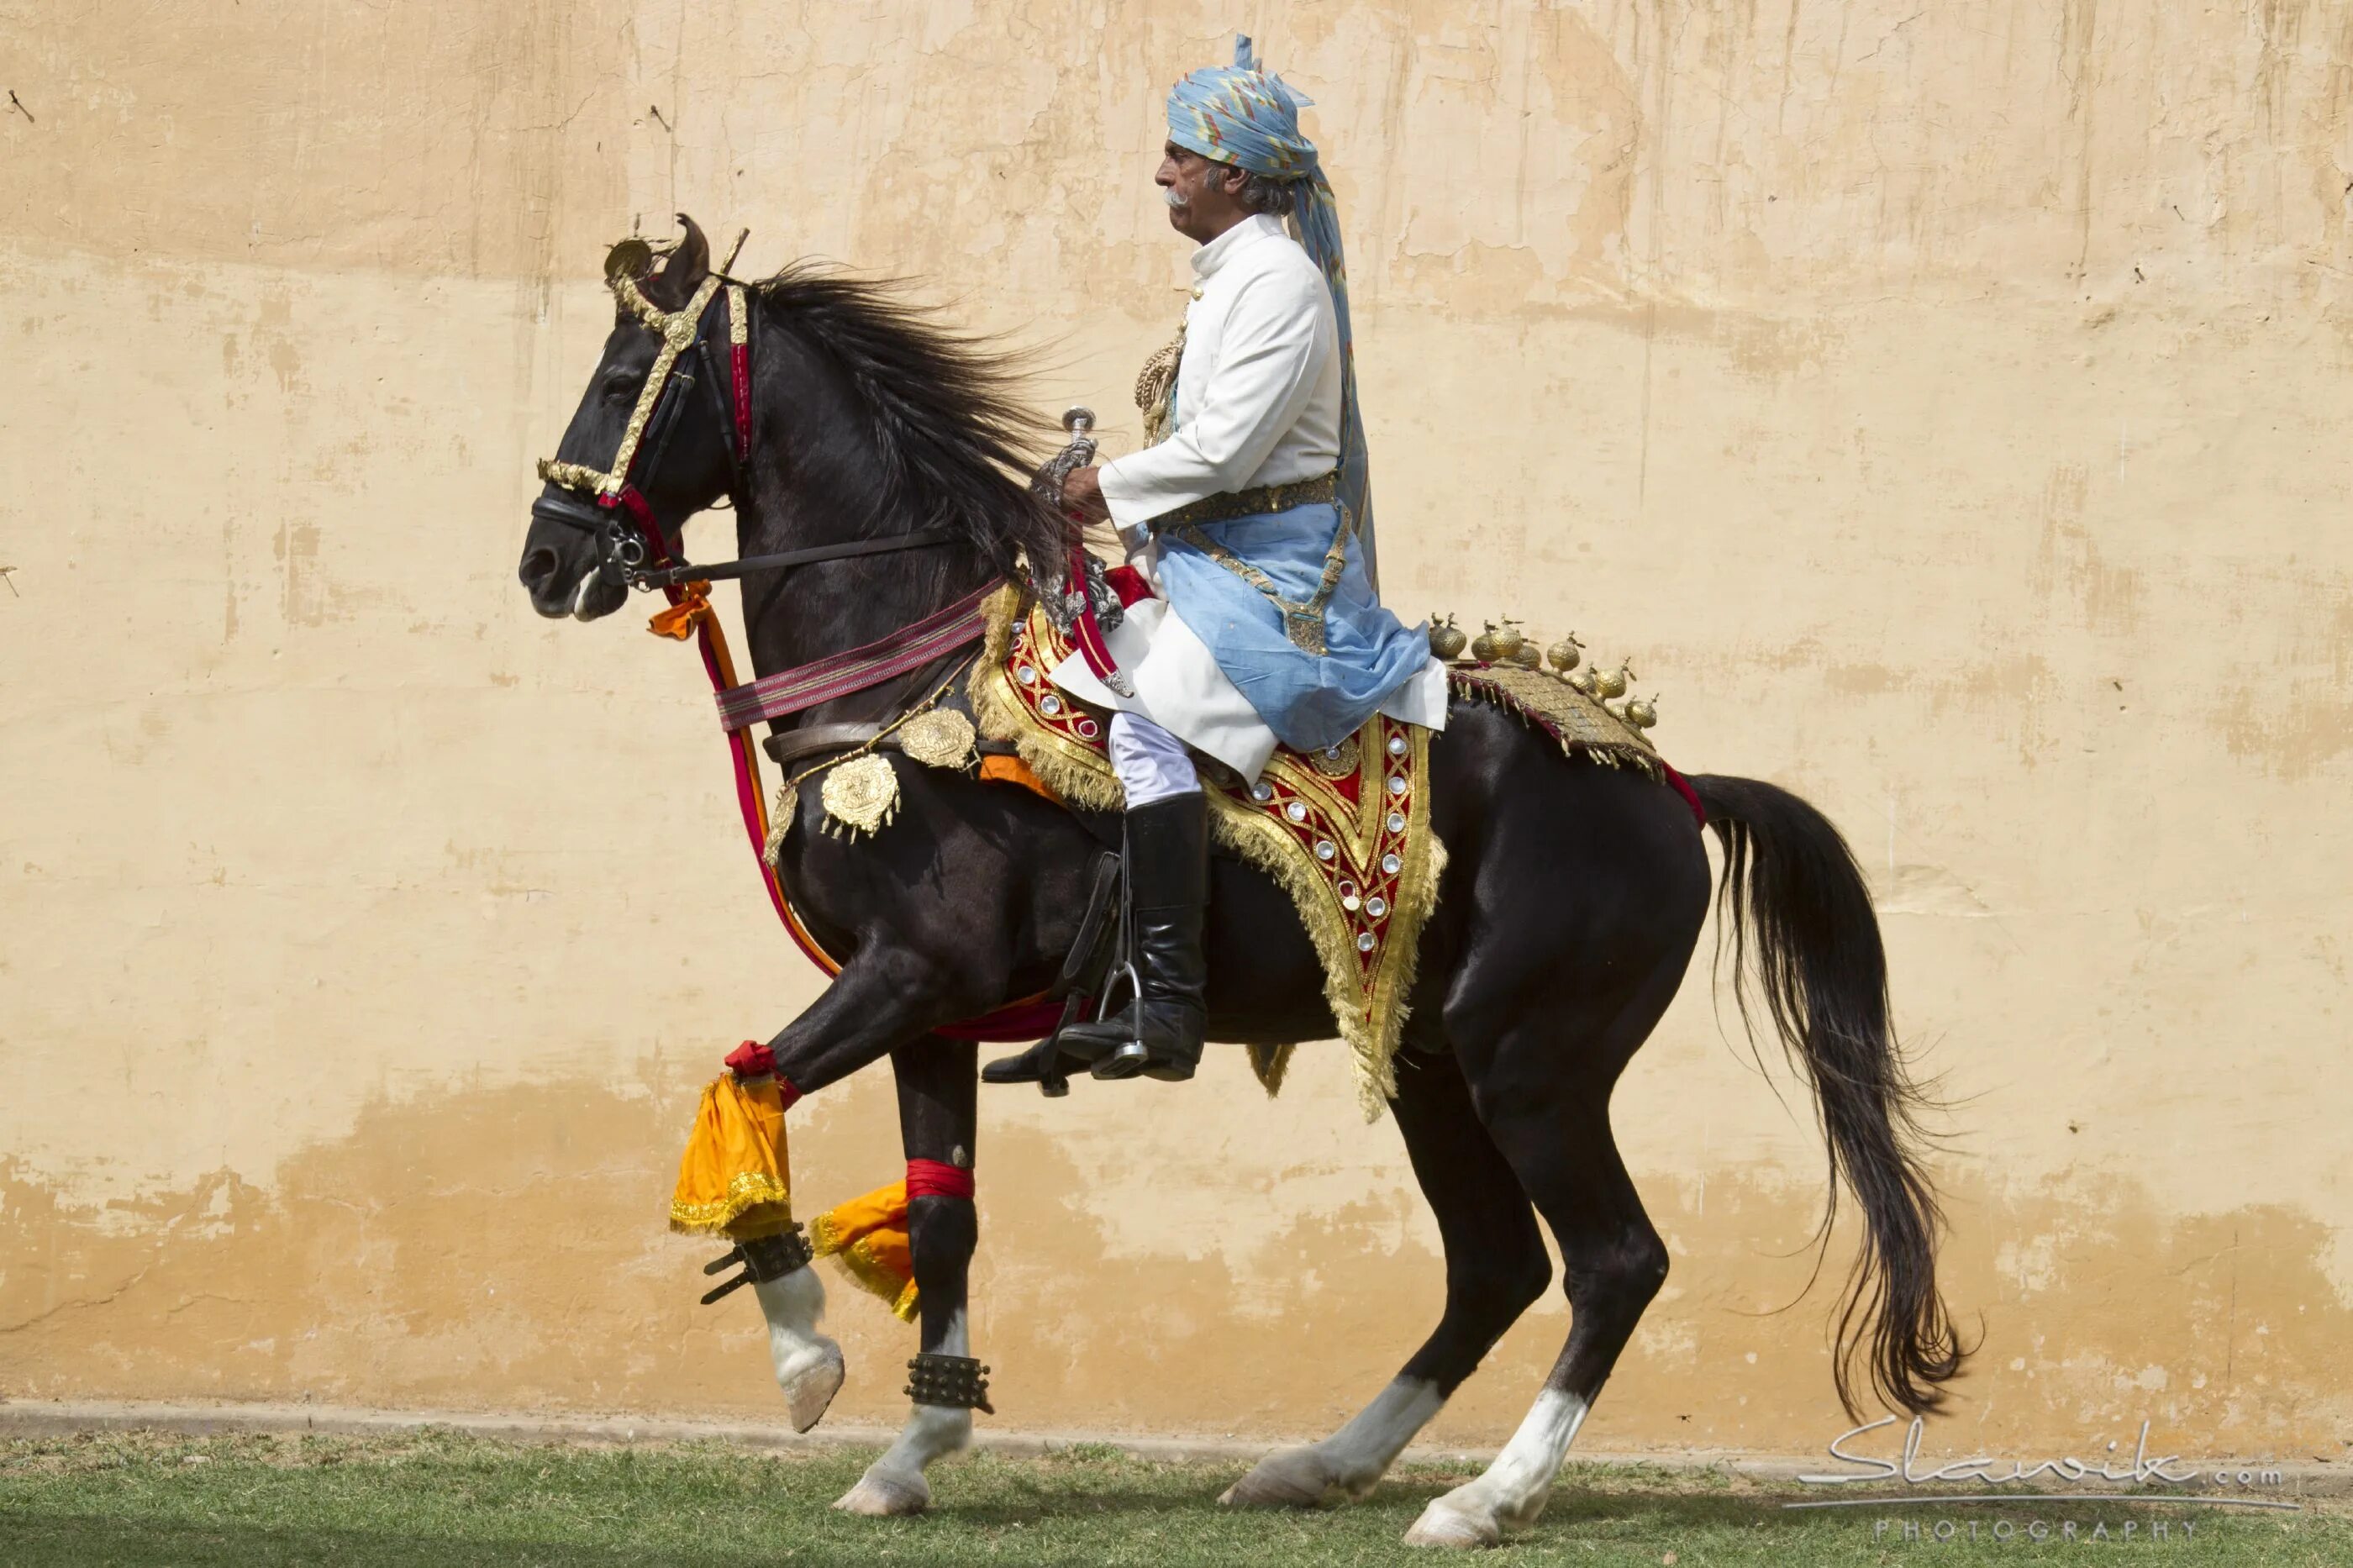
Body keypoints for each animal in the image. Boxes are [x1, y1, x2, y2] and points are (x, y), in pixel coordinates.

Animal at [519, 216, 1966, 1534]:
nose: (546, 561)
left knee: (1614, 1261)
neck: (908, 673)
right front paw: (913, 1449)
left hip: (1531, 1062)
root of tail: (1672, 789)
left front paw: (809, 1357)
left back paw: (1485, 1498)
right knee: (1493, 1265)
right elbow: (940, 1219)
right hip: (1433, 1059)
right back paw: (1323, 1462)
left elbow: (742, 1079)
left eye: (623, 375)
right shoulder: (929, 1016)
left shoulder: (911, 974)